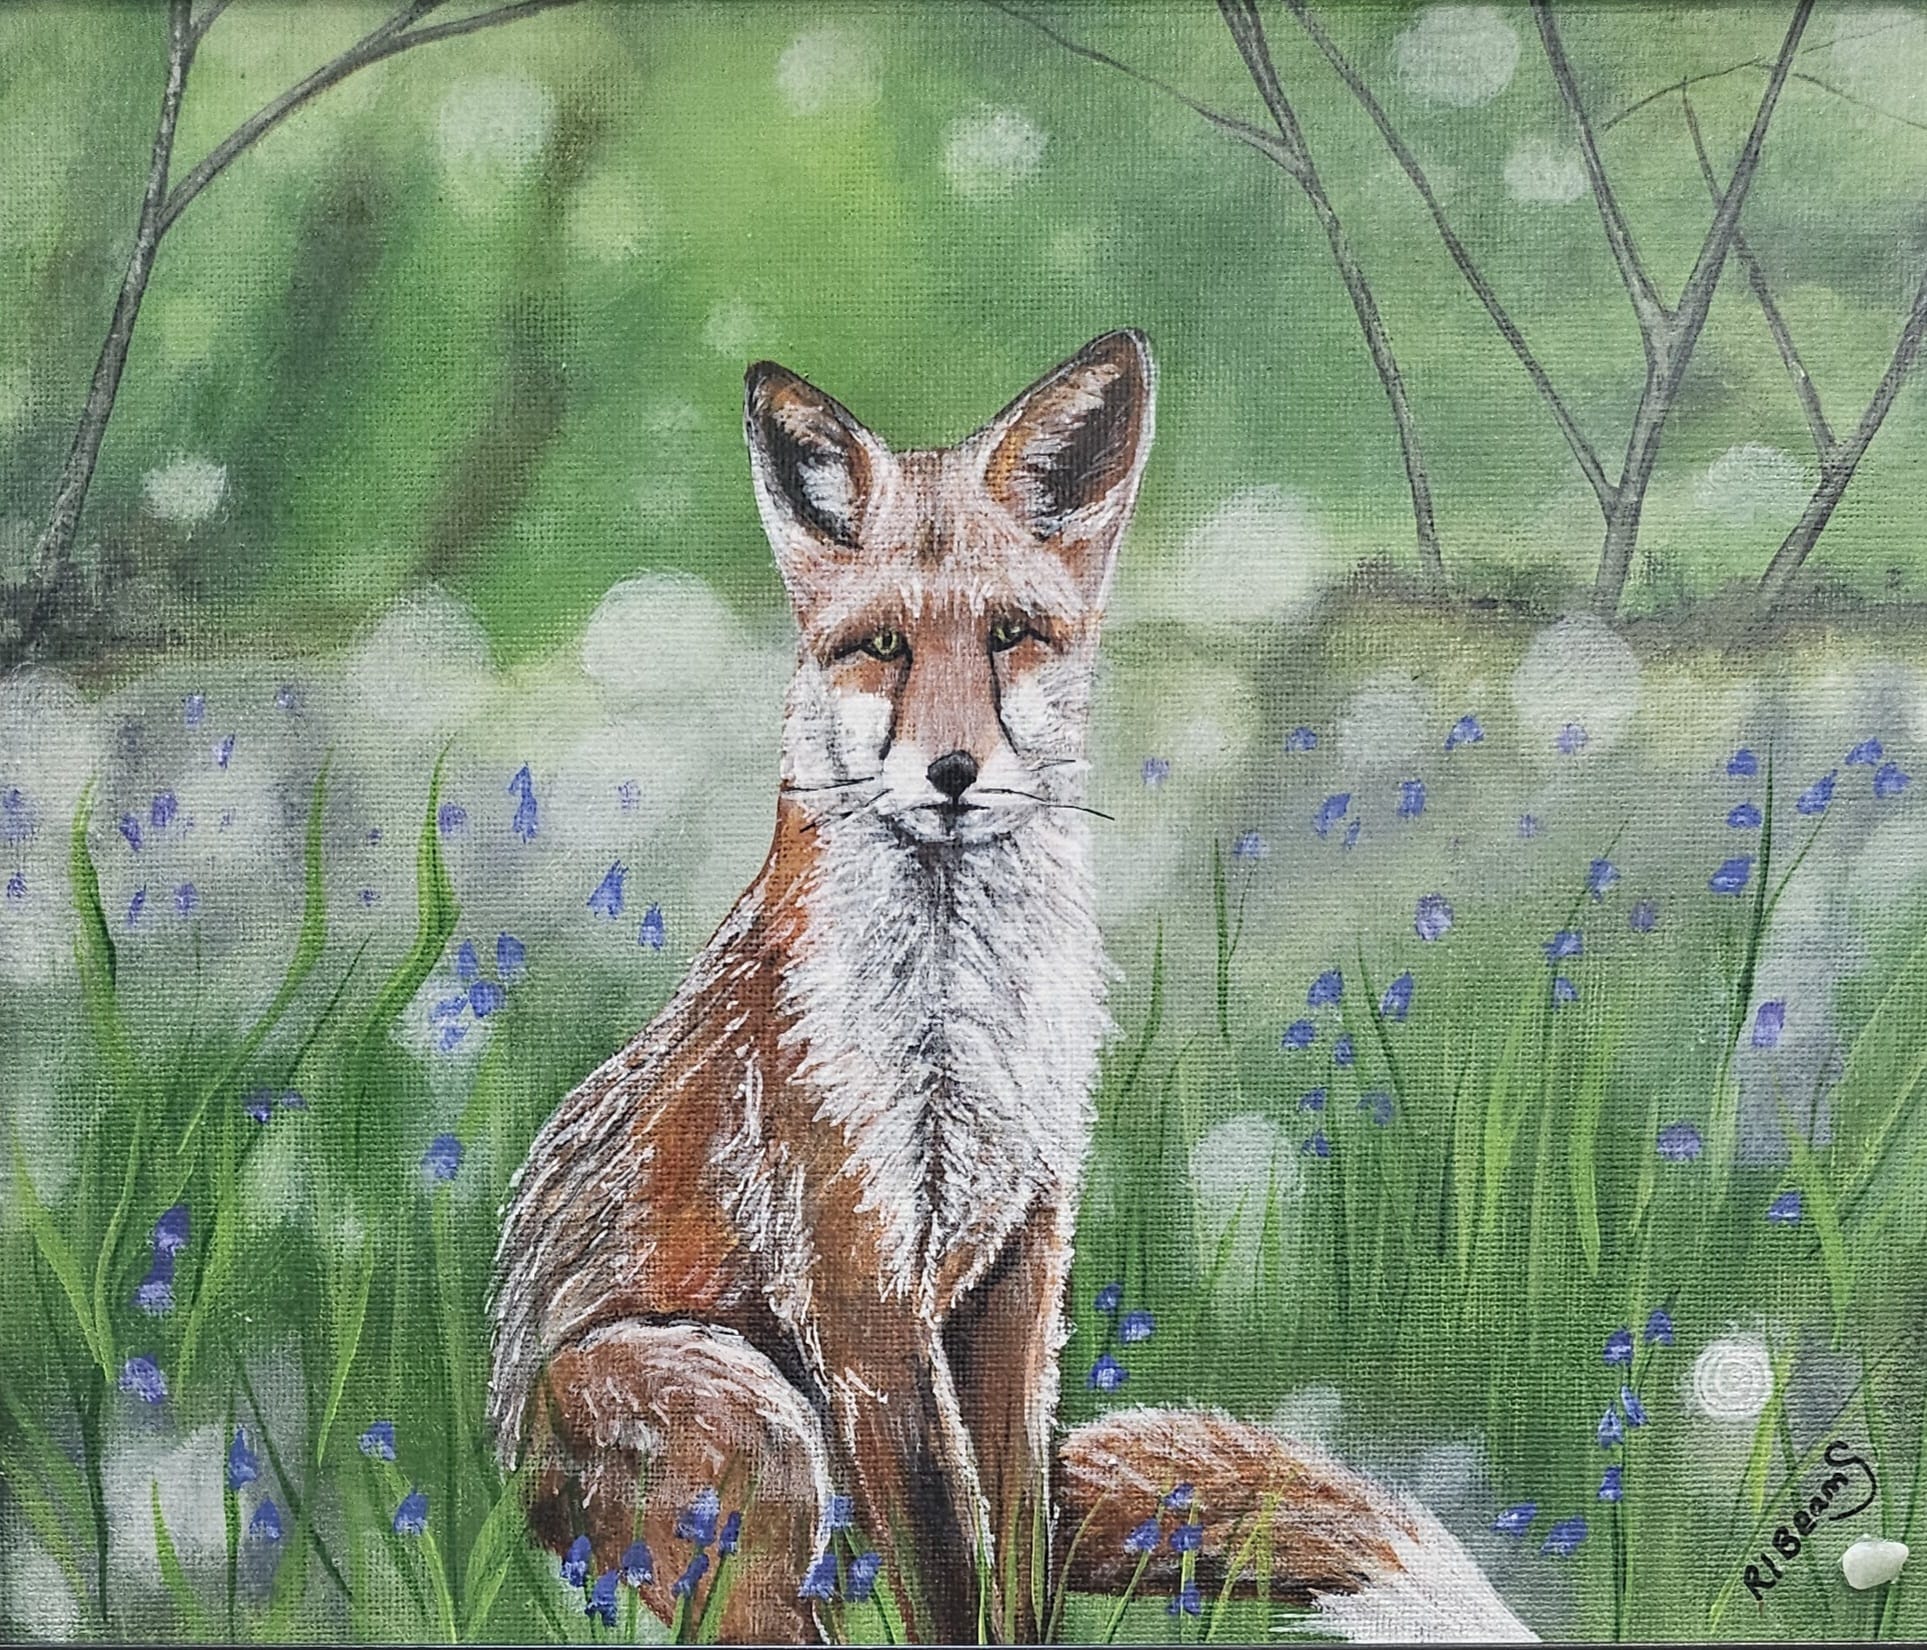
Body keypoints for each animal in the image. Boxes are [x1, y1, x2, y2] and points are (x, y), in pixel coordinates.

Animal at [485, 331, 1536, 1643]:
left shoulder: (1023, 1258)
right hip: (759, 1431)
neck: (963, 1016)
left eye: (1009, 635)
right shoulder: (863, 1285)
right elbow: (950, 1566)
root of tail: (505, 1482)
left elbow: (1016, 1554)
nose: (951, 772)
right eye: (883, 645)